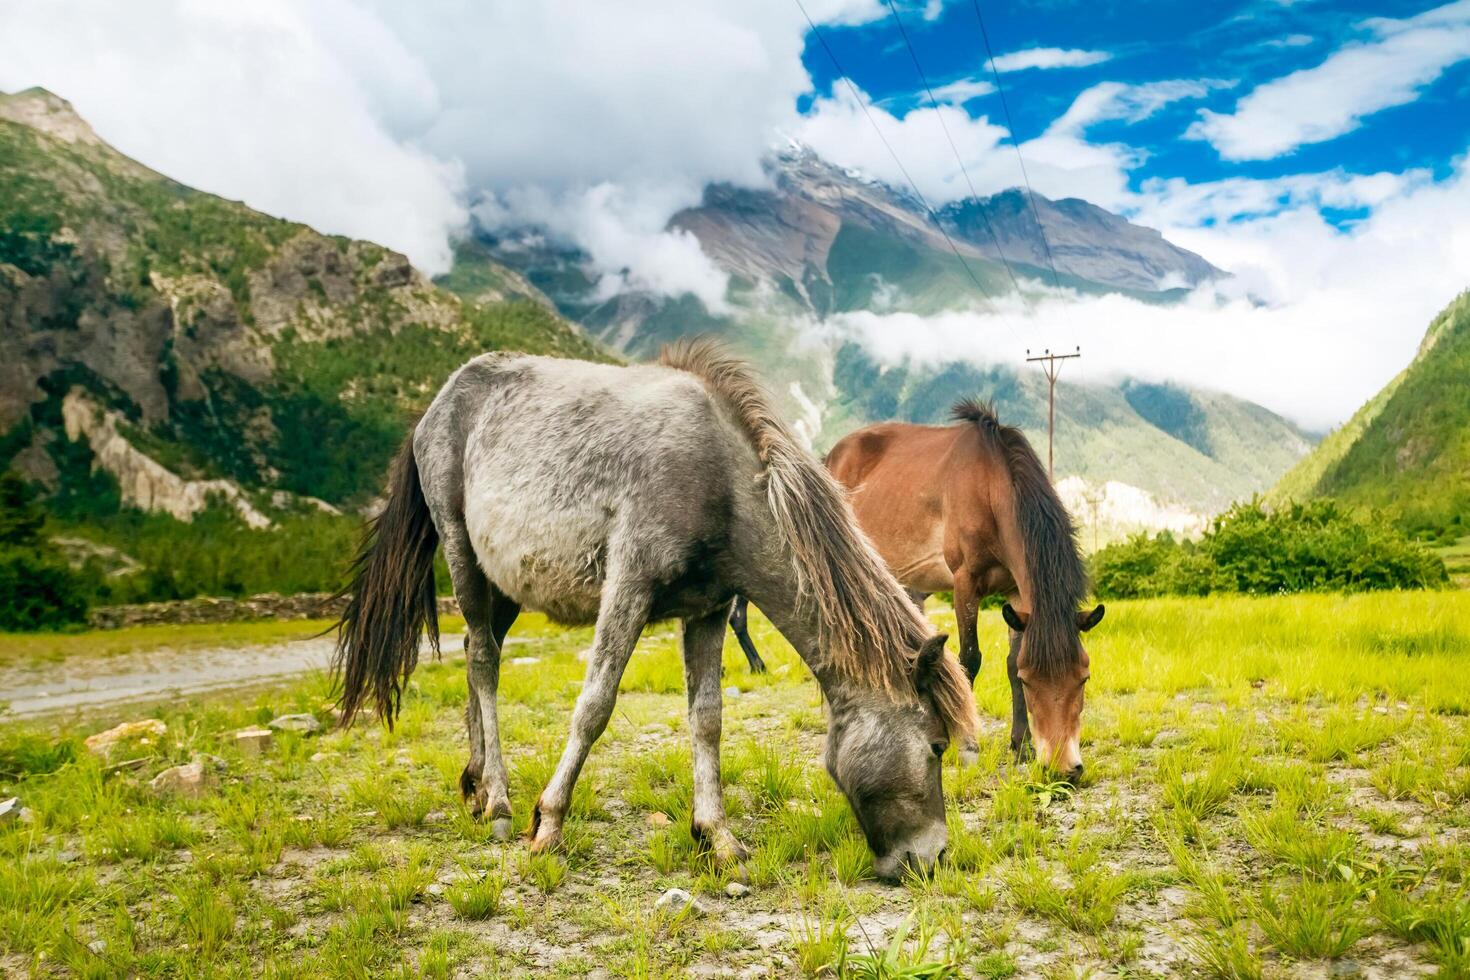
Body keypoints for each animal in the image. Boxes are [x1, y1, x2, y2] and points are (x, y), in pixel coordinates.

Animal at [333, 339, 976, 881]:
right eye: (937, 746)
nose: (933, 858)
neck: (716, 480)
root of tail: (438, 404)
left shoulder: (709, 611)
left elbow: (708, 718)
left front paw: (717, 836)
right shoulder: (629, 585)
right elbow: (595, 705)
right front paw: (549, 823)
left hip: (505, 587)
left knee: (474, 653)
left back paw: (473, 784)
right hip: (462, 555)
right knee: (485, 663)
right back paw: (497, 799)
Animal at [735, 399, 1105, 781]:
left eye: (1083, 678)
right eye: (1032, 682)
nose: (1063, 768)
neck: (989, 487)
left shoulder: (1016, 594)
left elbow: (1009, 660)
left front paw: (1022, 746)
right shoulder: (964, 584)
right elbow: (969, 660)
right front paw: (967, 747)